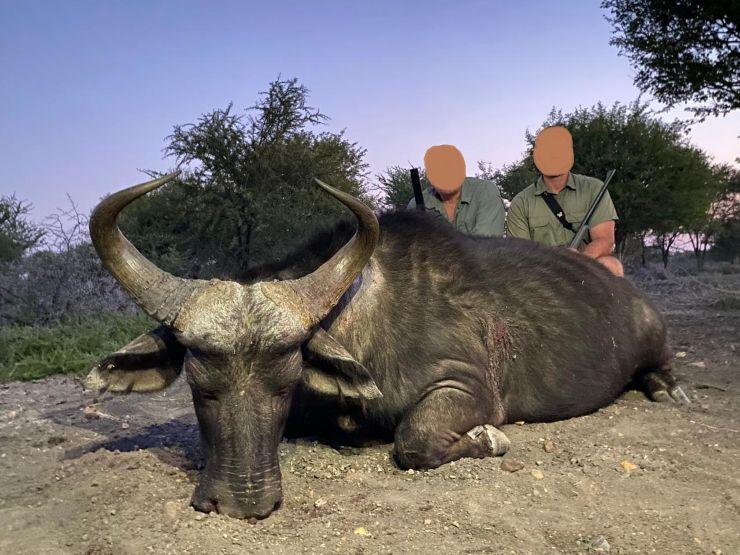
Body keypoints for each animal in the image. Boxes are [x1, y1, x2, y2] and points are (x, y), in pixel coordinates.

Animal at [85, 171, 686, 520]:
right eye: (198, 387)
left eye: (284, 384)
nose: (241, 503)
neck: (356, 311)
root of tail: (629, 296)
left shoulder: (466, 388)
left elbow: (414, 441)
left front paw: (490, 440)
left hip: (654, 338)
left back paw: (667, 390)